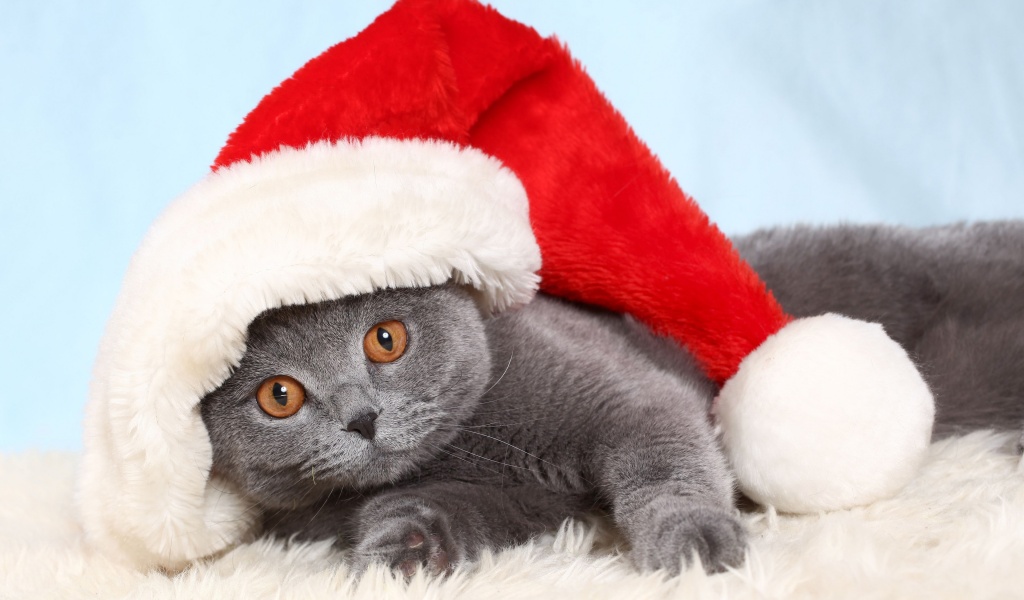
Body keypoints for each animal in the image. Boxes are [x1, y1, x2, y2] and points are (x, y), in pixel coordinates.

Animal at [199, 219, 1024, 573]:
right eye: (279, 396)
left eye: (385, 339)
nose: (362, 417)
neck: (470, 446)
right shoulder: (520, 503)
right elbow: (439, 510)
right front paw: (401, 548)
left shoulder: (628, 396)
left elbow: (664, 462)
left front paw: (694, 544)